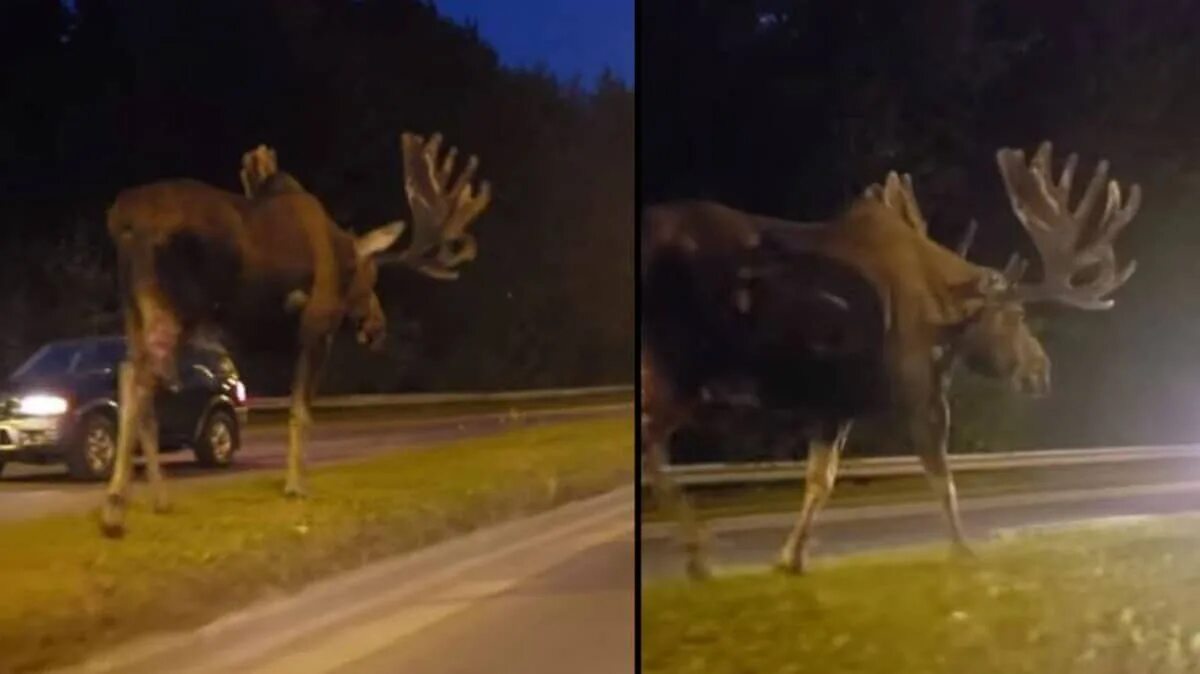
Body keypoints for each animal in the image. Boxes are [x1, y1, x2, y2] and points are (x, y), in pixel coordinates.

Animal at [99, 131, 492, 534]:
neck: (341, 255)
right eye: (371, 279)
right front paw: (296, 486)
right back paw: (114, 508)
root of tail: (124, 220)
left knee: (130, 371)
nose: (377, 326)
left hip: (133, 307)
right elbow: (301, 409)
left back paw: (158, 500)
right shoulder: (317, 323)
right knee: (141, 378)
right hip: (180, 304)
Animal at [648, 141, 1142, 578]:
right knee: (651, 448)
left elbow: (820, 480)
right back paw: (697, 554)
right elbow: (942, 477)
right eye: (1016, 315)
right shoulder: (921, 387)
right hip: (680, 363)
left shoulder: (835, 406)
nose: (1041, 371)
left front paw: (791, 557)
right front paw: (963, 549)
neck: (949, 307)